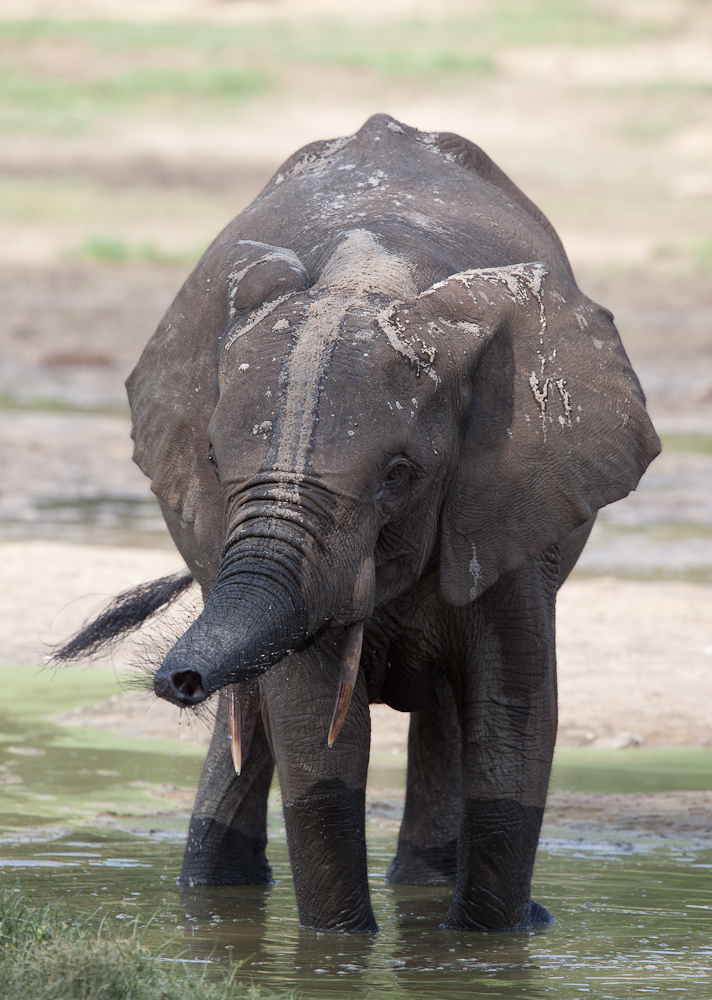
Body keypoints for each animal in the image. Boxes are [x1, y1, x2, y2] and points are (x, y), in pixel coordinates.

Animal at [57, 113, 660, 932]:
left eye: (399, 474)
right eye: (211, 457)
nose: (178, 679)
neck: (368, 274)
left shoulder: (505, 505)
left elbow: (514, 717)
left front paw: (487, 944)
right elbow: (313, 736)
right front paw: (338, 947)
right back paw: (214, 897)